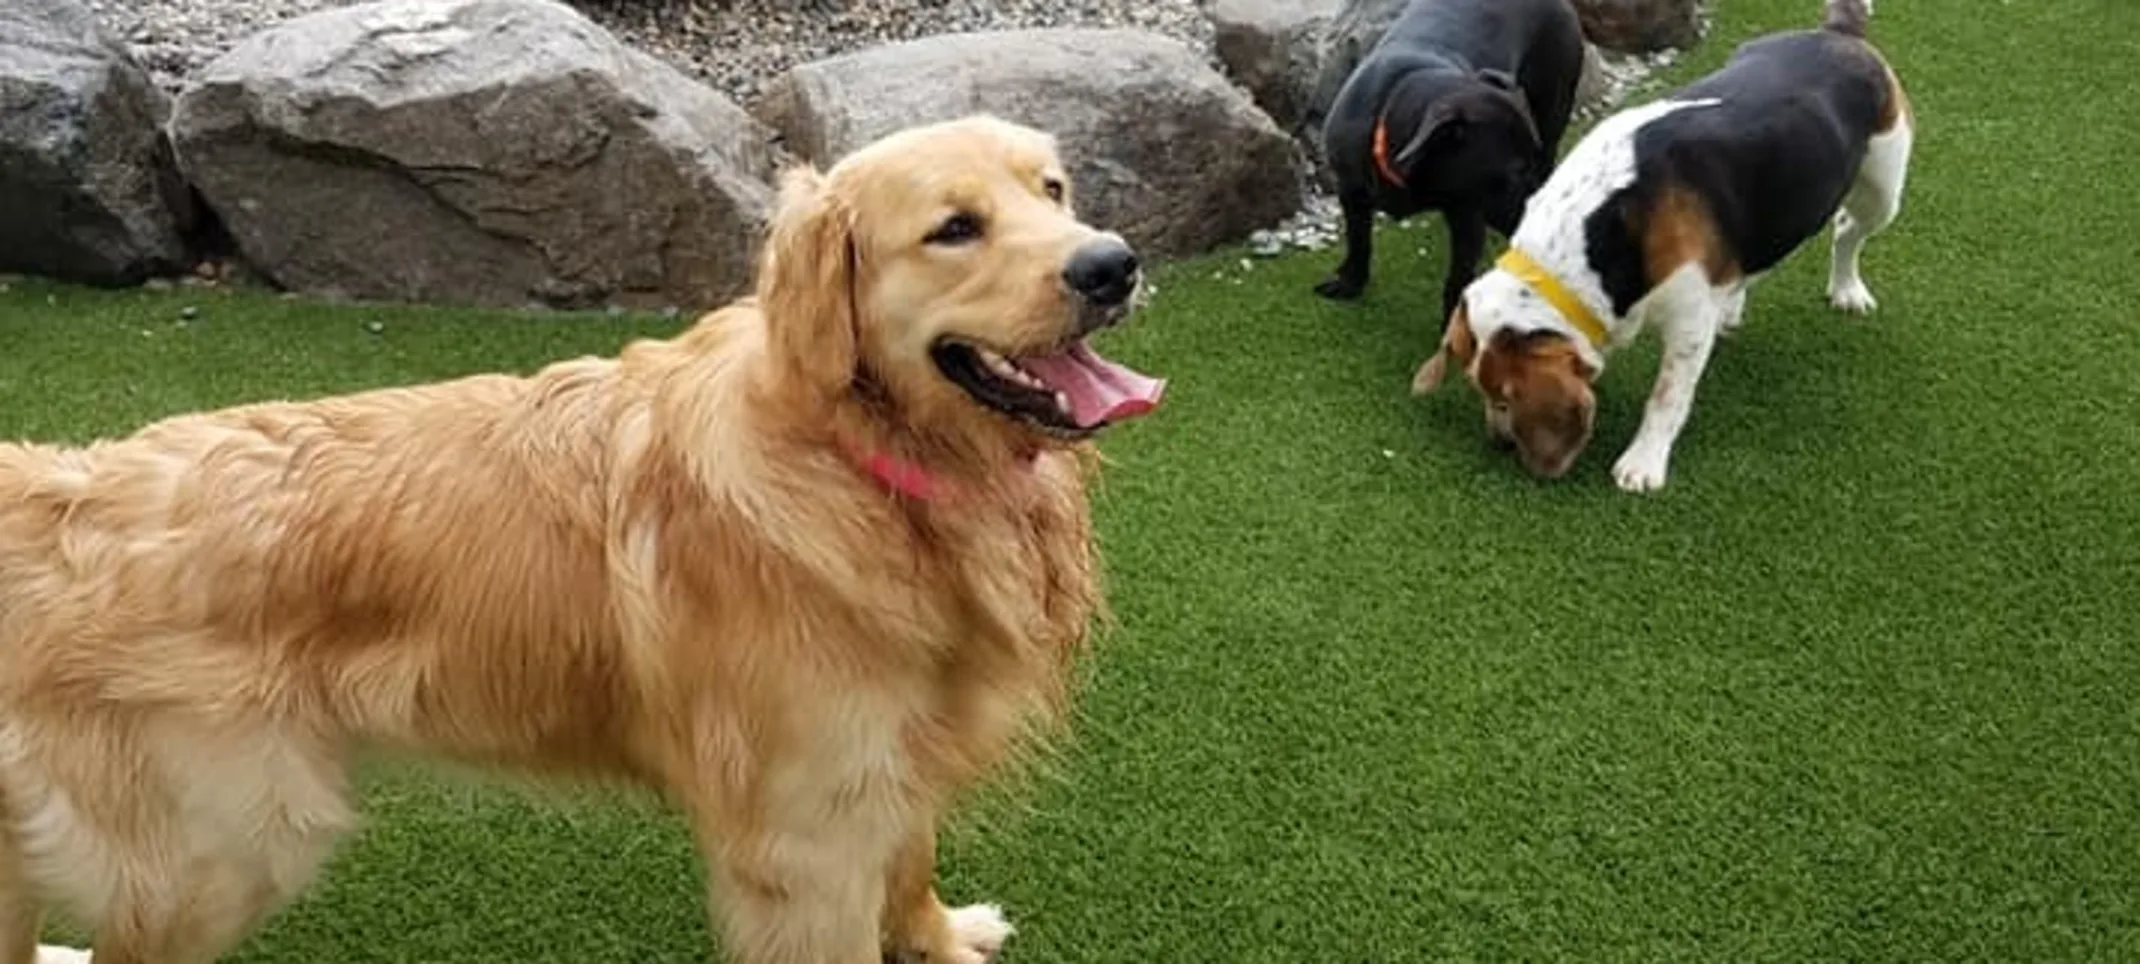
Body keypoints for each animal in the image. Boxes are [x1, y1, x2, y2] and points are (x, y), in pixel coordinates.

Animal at [1309, 0, 1583, 319]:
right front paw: (1350, 282)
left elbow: (1458, 277)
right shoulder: (1351, 191)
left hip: (1552, 108)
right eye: (1514, 172)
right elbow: (1358, 240)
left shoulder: (1467, 214)